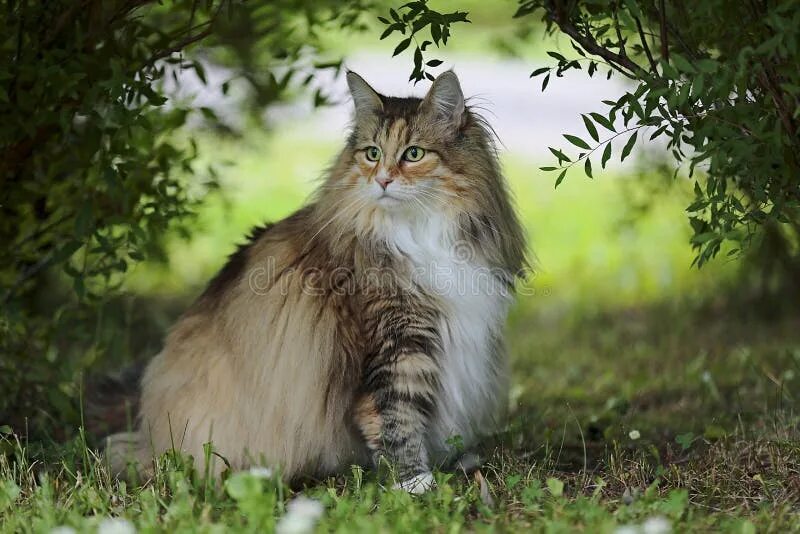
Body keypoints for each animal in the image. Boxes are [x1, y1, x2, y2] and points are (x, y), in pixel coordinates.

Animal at [106, 69, 532, 496]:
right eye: (372, 153)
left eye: (413, 154)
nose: (382, 180)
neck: (418, 232)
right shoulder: (395, 347)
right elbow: (397, 418)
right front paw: (412, 482)